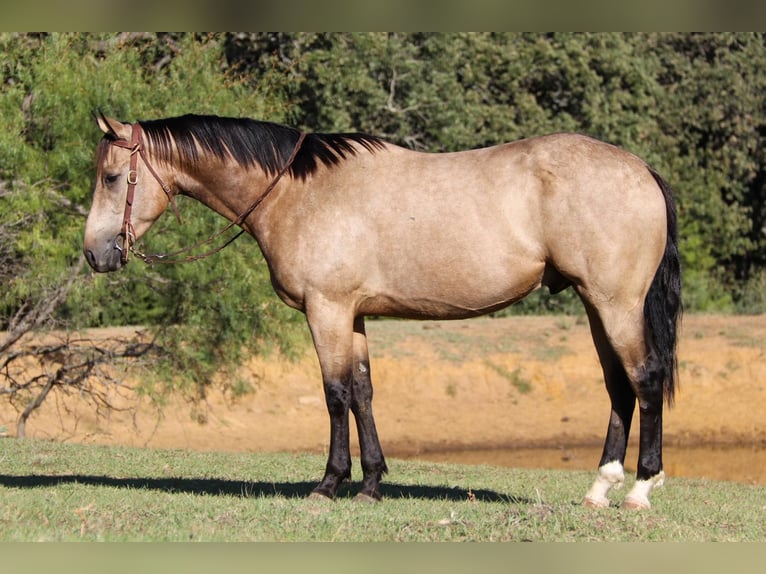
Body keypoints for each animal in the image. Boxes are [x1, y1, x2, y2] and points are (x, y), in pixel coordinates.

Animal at [84, 112, 684, 508]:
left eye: (111, 177)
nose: (95, 253)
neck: (296, 191)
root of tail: (642, 170)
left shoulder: (326, 310)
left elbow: (335, 394)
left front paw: (329, 484)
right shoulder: (352, 315)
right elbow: (364, 393)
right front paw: (372, 484)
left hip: (615, 304)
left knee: (645, 378)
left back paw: (640, 488)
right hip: (595, 305)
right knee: (618, 386)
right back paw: (601, 487)